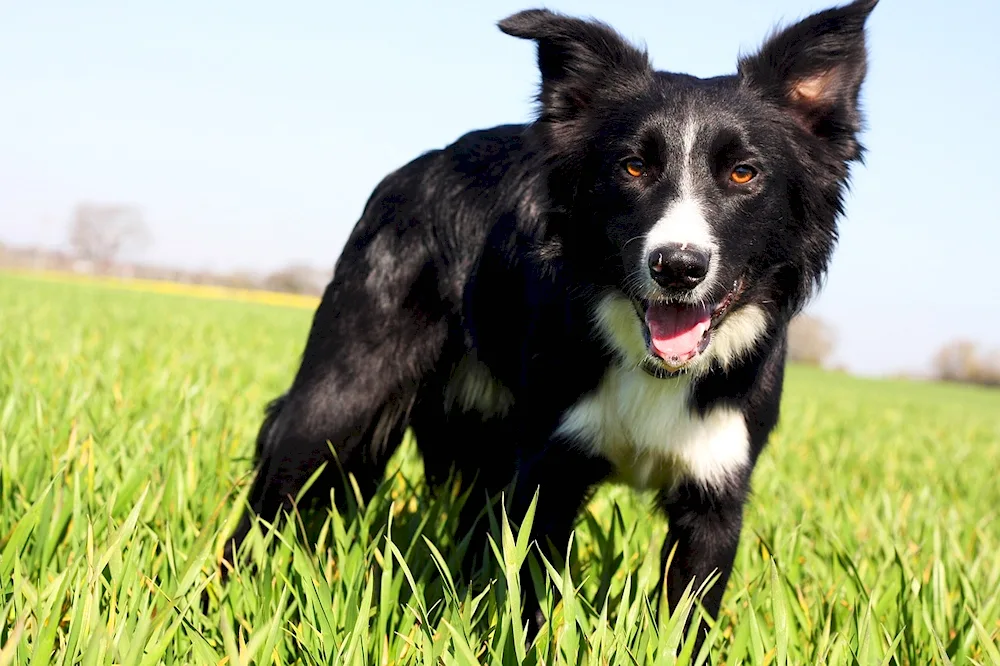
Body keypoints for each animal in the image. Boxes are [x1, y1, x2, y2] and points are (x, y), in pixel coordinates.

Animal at [225, 0, 876, 644]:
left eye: (743, 173)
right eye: (633, 168)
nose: (677, 267)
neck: (650, 367)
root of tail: (419, 166)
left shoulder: (714, 492)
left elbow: (684, 622)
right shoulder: (549, 469)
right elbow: (531, 602)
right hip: (342, 394)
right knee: (274, 492)